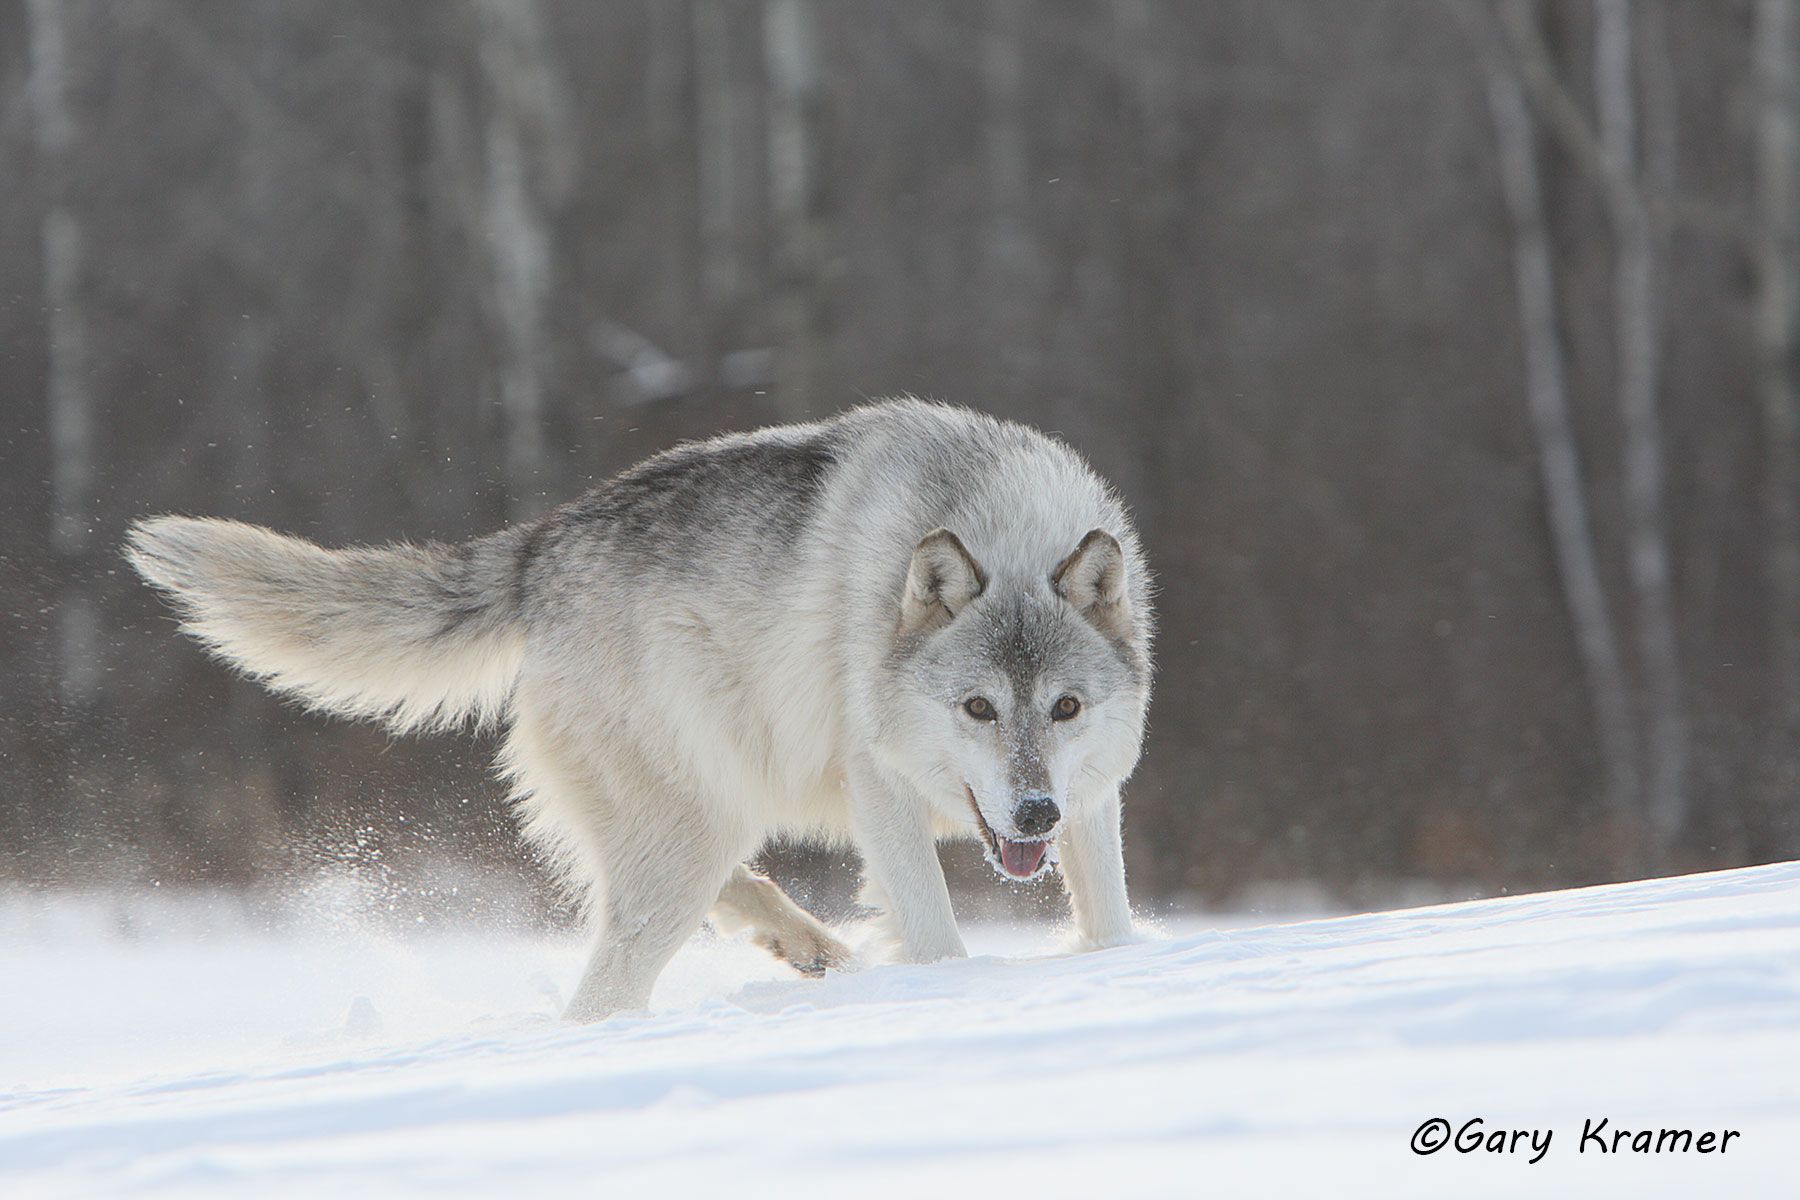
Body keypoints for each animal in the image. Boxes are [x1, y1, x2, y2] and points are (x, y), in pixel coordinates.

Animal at [128, 400, 1154, 1020]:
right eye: (978, 706)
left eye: (1064, 707)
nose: (1034, 812)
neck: (995, 522)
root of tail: (541, 546)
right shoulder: (883, 791)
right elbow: (938, 941)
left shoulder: (1094, 797)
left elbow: (1110, 923)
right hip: (681, 842)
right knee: (605, 988)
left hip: (705, 819)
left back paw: (807, 945)